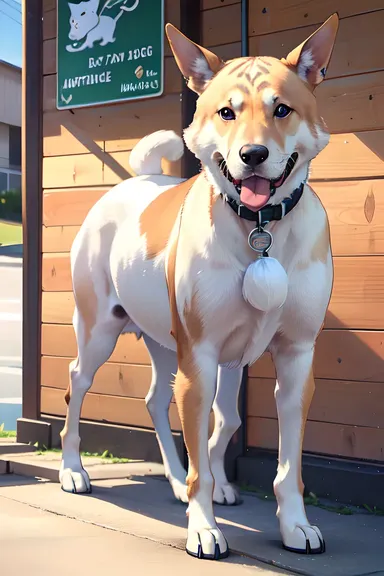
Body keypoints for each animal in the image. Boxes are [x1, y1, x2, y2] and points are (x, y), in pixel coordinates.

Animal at [60, 13, 340, 560]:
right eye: (226, 112)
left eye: (282, 108)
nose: (253, 154)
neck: (260, 229)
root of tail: (134, 182)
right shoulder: (202, 353)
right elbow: (206, 455)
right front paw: (204, 528)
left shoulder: (289, 356)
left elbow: (249, 439)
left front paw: (294, 525)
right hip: (100, 331)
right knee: (77, 382)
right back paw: (72, 470)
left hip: (166, 342)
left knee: (155, 401)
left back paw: (172, 479)